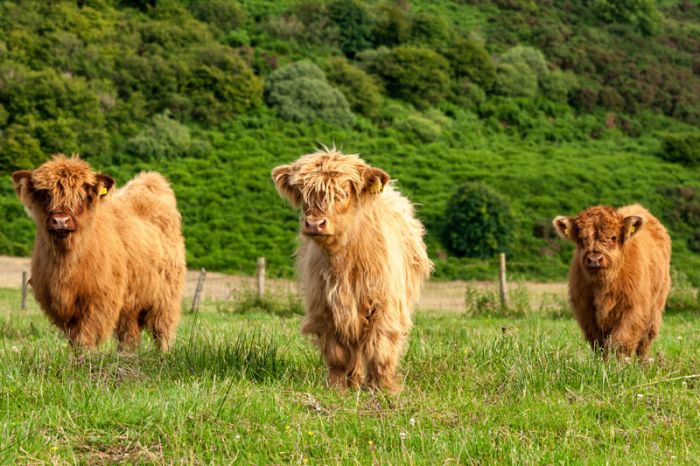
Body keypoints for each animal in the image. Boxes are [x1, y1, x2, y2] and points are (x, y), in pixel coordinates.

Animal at [13, 155, 186, 352]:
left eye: (81, 196)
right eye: (46, 195)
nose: (60, 221)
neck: (66, 261)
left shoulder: (99, 299)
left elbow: (86, 335)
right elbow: (74, 337)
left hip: (166, 296)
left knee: (162, 329)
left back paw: (162, 354)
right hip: (131, 302)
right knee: (129, 334)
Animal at [272, 150, 432, 394]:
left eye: (344, 193)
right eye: (304, 194)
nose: (314, 223)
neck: (344, 264)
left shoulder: (384, 305)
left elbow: (380, 348)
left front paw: (383, 388)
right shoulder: (327, 308)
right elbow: (337, 354)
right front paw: (338, 388)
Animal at [552, 204, 672, 356]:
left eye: (613, 237)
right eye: (582, 238)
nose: (594, 259)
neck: (603, 284)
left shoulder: (633, 308)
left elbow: (621, 342)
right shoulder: (585, 310)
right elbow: (599, 343)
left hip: (656, 307)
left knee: (645, 342)